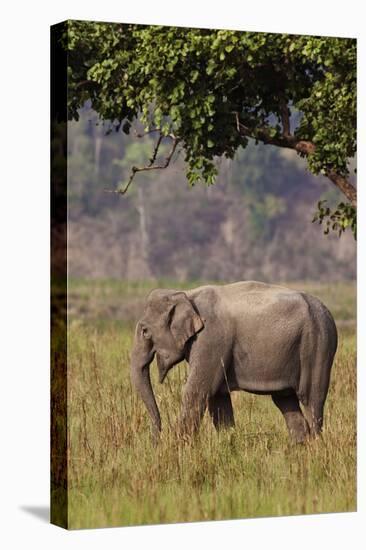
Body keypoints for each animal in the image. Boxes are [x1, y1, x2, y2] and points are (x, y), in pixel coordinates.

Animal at [130, 282, 338, 446]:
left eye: (145, 331)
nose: (156, 441)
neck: (186, 294)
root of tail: (327, 312)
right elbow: (218, 398)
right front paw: (227, 444)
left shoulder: (210, 339)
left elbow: (197, 391)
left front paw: (178, 448)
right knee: (285, 400)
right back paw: (300, 449)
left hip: (317, 345)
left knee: (311, 399)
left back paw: (315, 447)